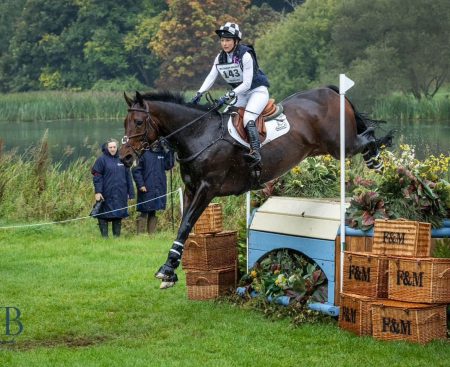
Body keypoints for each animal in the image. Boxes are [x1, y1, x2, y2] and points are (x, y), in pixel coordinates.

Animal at [119, 87, 394, 288]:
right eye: (125, 122)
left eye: (139, 122)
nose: (125, 157)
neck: (199, 134)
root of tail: (330, 92)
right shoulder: (190, 189)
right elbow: (183, 226)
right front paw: (171, 270)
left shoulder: (208, 188)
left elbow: (186, 224)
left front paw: (167, 270)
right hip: (324, 148)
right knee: (365, 135)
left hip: (340, 145)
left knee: (368, 135)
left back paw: (379, 163)